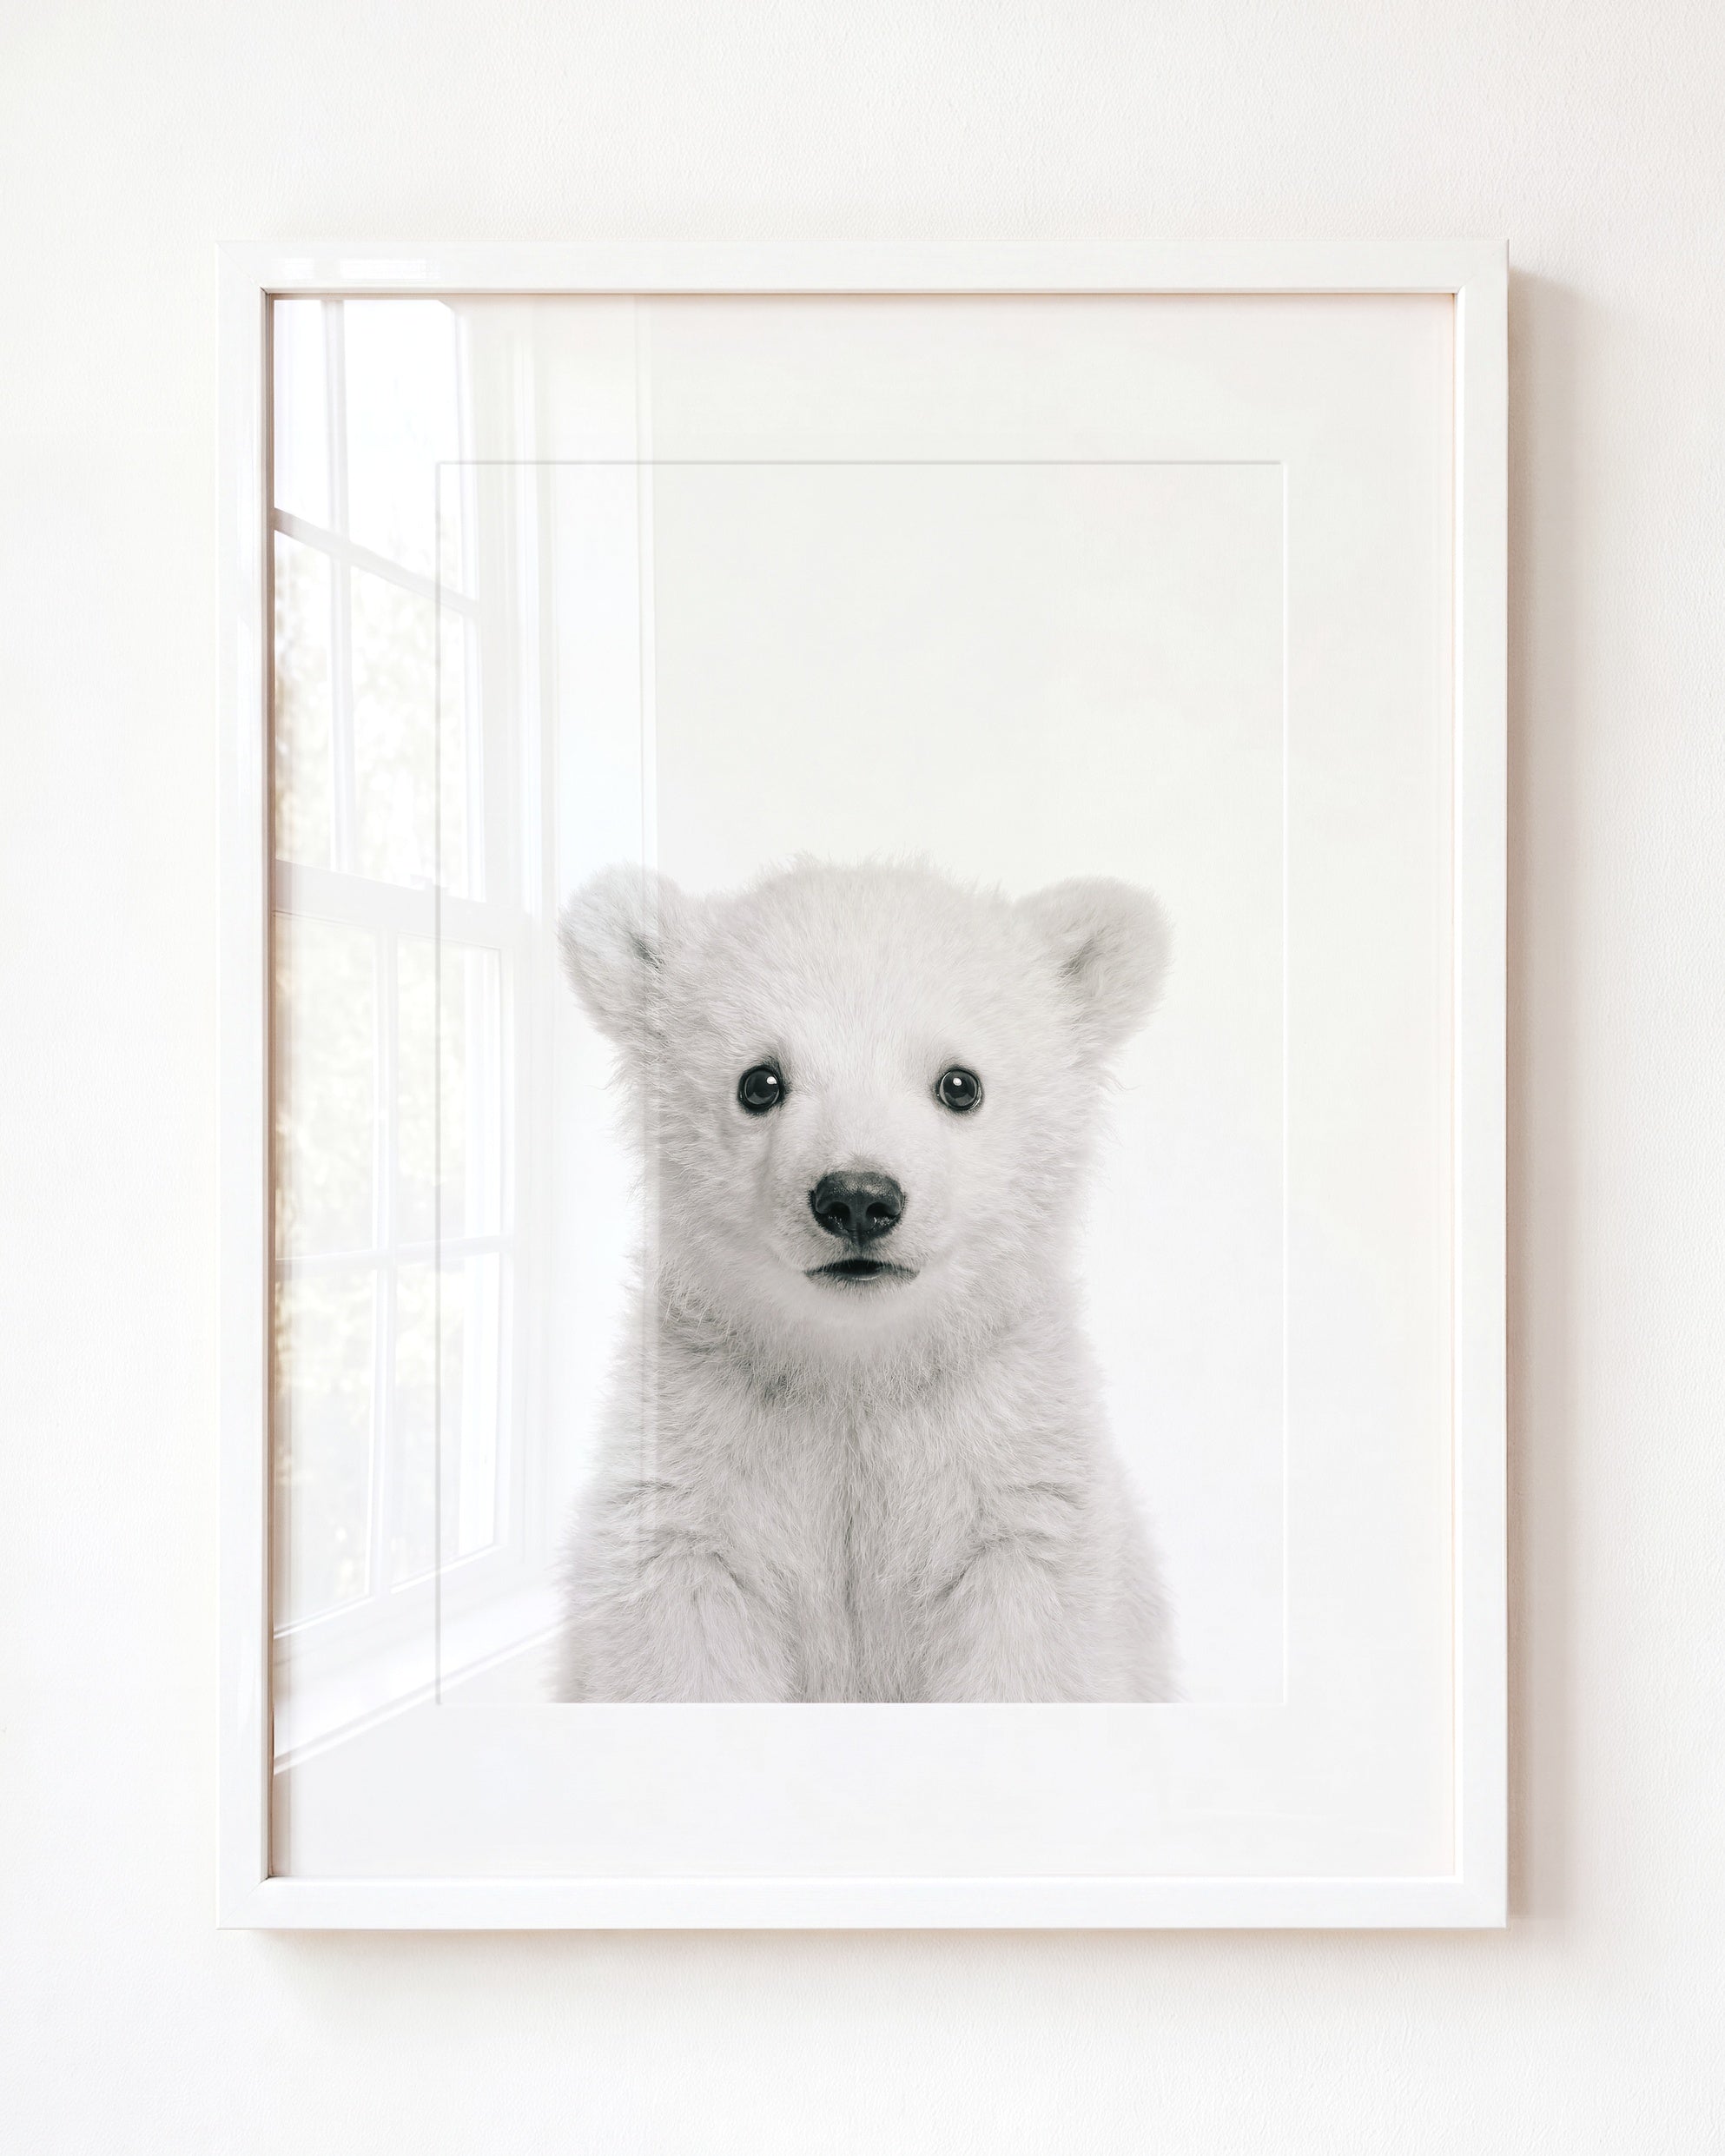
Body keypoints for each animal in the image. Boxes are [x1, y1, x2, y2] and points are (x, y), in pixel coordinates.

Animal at [551, 857, 1177, 1702]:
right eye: (759, 1082)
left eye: (960, 1084)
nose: (856, 1198)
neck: (856, 1371)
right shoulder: (693, 1475)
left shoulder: (1015, 1482)